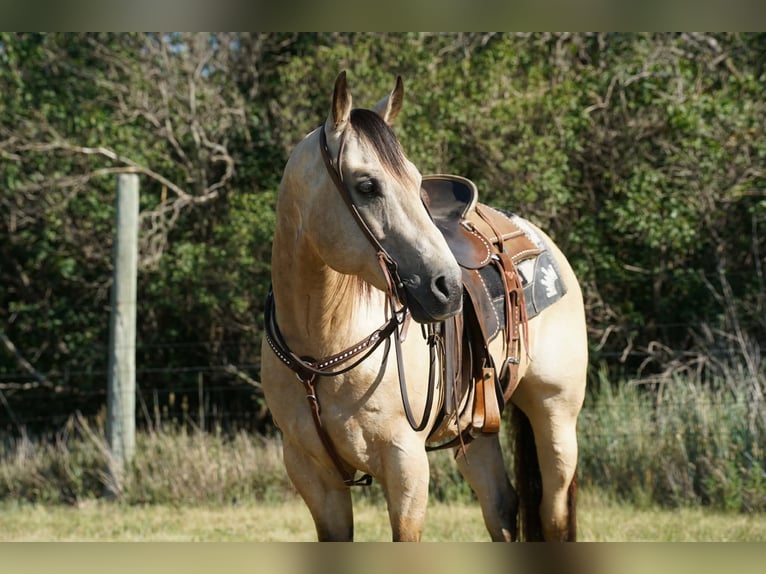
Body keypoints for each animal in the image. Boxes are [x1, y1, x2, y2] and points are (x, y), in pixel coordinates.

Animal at [260, 71, 587, 542]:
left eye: (416, 183)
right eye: (367, 186)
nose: (447, 288)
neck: (321, 352)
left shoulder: (406, 465)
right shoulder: (312, 475)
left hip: (556, 416)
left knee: (554, 513)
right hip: (477, 428)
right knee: (501, 507)